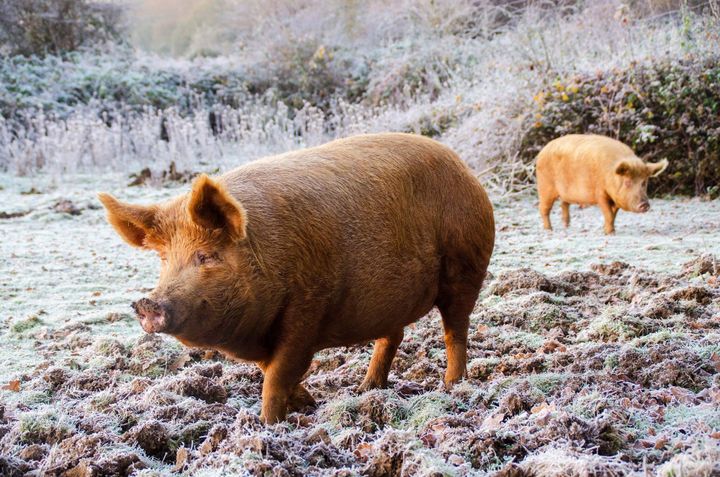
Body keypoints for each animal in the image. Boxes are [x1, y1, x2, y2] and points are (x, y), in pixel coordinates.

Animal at [99, 133, 495, 423]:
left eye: (206, 256)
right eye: (164, 259)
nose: (147, 303)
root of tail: (463, 168)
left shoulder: (308, 309)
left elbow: (277, 376)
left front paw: (267, 425)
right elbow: (272, 370)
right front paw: (308, 404)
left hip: (466, 266)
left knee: (456, 329)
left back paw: (452, 386)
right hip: (388, 299)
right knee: (392, 335)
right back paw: (366, 389)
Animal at [535, 134, 668, 234]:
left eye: (644, 182)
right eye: (627, 182)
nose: (644, 204)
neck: (610, 176)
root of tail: (542, 152)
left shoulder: (616, 199)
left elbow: (613, 215)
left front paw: (609, 231)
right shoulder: (600, 194)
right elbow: (608, 213)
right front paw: (610, 233)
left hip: (564, 194)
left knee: (564, 205)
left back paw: (567, 226)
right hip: (545, 187)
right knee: (543, 208)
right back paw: (549, 229)